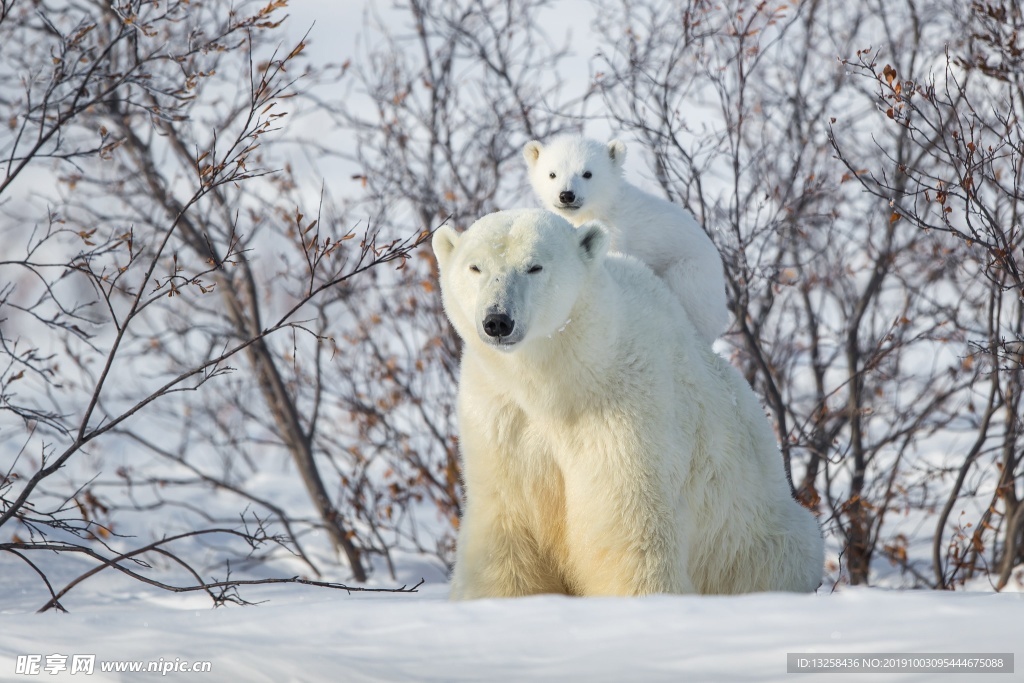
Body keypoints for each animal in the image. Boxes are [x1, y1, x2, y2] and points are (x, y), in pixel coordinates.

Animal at [434, 209, 823, 598]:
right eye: (475, 267)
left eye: (534, 267)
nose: (498, 320)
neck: (561, 383)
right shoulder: (500, 415)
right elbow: (507, 528)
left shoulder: (627, 410)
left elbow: (628, 527)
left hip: (751, 536)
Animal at [528, 134, 729, 348]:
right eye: (552, 174)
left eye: (587, 173)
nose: (567, 195)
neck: (601, 209)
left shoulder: (616, 232)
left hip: (691, 276)